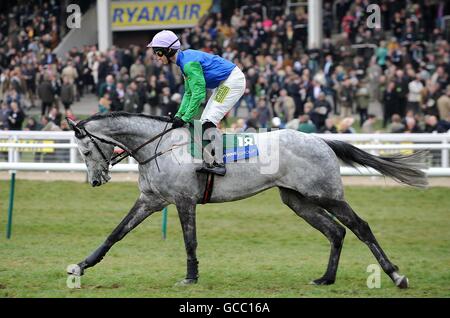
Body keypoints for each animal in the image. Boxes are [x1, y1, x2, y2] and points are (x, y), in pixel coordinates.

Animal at [65, 113, 428, 290]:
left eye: (85, 150)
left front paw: (191, 278)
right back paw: (325, 279)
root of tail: (322, 141)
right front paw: (80, 266)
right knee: (336, 232)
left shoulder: (183, 201)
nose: (96, 180)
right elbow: (115, 234)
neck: (160, 146)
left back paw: (396, 275)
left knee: (359, 227)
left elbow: (190, 241)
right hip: (298, 201)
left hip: (326, 195)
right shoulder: (151, 200)